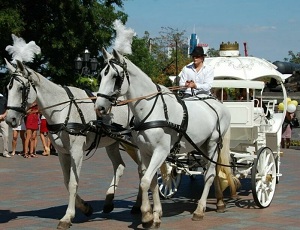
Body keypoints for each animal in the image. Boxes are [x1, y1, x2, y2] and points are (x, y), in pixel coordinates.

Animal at [4, 59, 142, 230]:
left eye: (21, 88)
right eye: (8, 88)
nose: (9, 119)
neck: (61, 110)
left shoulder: (76, 151)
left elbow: (72, 182)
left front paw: (68, 216)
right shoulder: (63, 152)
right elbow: (66, 181)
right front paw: (85, 207)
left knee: (143, 169)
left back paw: (138, 205)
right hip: (113, 142)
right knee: (120, 166)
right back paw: (109, 201)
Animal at [94, 49, 239, 228]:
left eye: (116, 76)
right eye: (101, 74)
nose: (99, 107)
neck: (152, 109)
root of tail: (220, 105)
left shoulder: (161, 151)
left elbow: (145, 181)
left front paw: (147, 216)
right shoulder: (146, 151)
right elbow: (151, 181)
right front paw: (155, 215)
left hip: (213, 143)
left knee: (210, 175)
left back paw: (199, 210)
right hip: (203, 145)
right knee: (216, 172)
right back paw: (219, 202)